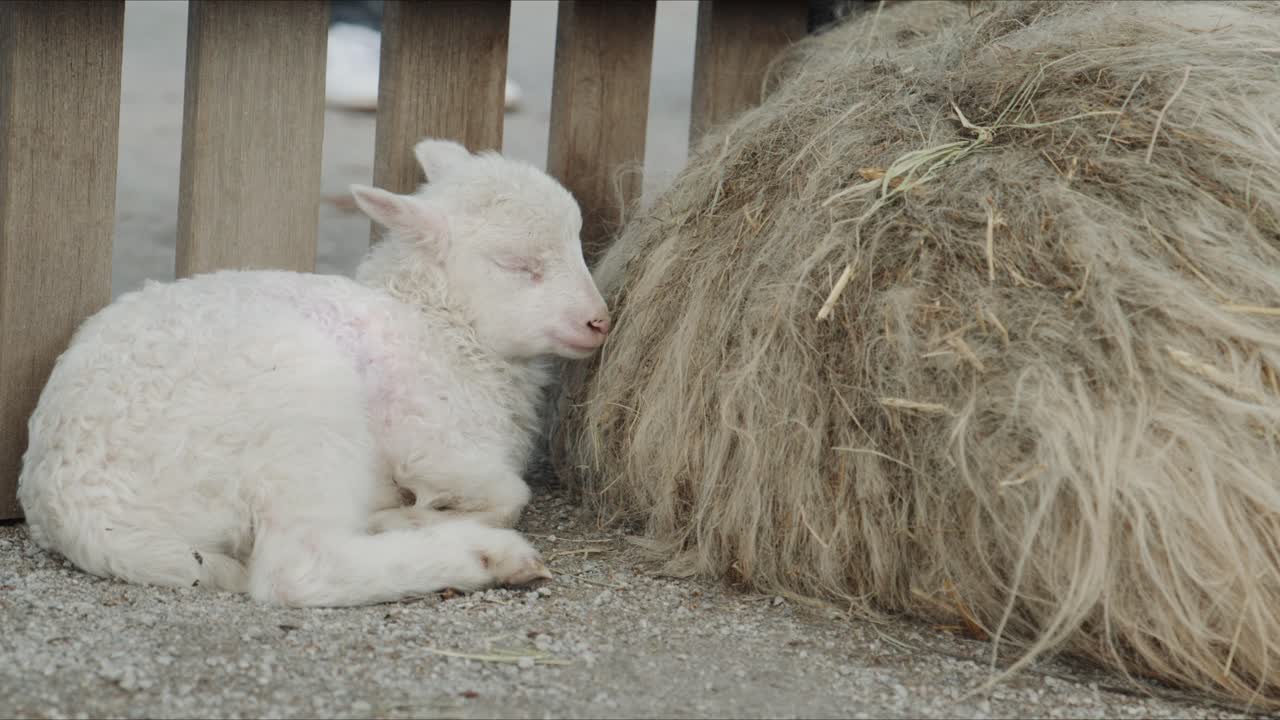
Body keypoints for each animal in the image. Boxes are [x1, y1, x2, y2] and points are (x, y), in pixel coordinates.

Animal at [15, 138, 611, 607]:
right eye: (518, 265)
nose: (599, 321)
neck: (440, 326)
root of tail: (73, 507)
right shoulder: (431, 439)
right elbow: (510, 494)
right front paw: (411, 517)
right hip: (301, 410)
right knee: (298, 571)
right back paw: (487, 557)